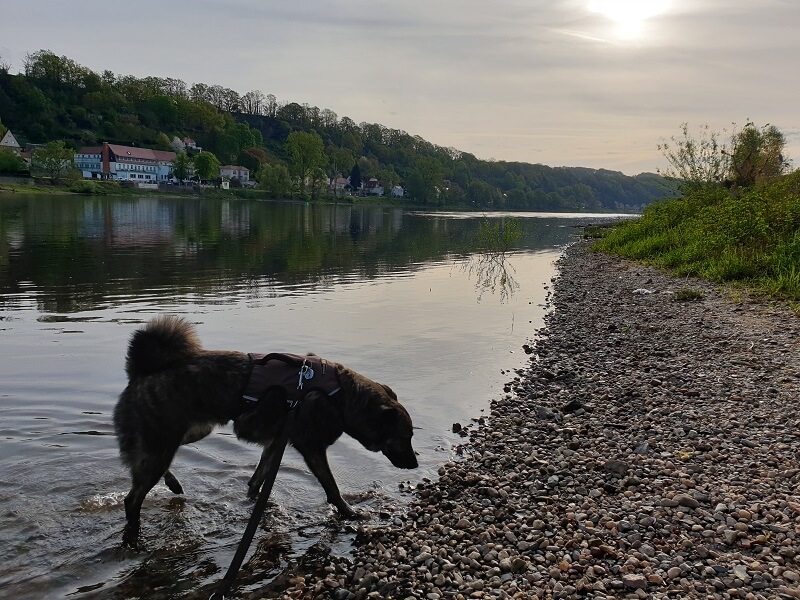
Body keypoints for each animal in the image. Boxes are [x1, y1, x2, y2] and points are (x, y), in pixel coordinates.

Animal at [114, 316, 418, 552]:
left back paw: (173, 484)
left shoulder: (275, 443)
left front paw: (256, 501)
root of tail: (141, 371)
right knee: (132, 498)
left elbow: (258, 479)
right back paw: (134, 539)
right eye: (405, 437)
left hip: (187, 433)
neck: (342, 397)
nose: (415, 464)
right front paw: (350, 513)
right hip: (161, 443)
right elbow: (331, 486)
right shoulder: (312, 447)